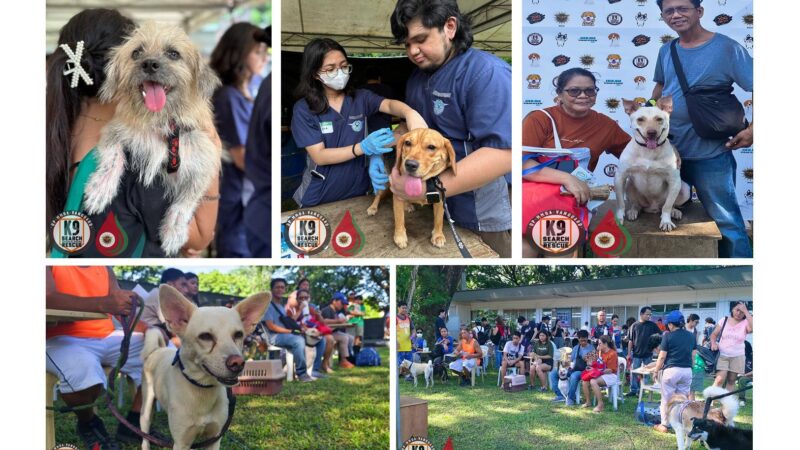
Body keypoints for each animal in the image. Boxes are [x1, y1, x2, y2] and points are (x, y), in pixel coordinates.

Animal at [83, 22, 220, 255]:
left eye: (173, 54)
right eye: (136, 53)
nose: (149, 64)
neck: (162, 121)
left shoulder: (204, 160)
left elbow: (187, 199)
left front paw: (174, 228)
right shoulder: (114, 130)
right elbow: (114, 157)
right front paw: (101, 188)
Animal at [140, 286, 268, 448]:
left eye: (238, 334)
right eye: (205, 336)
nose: (237, 363)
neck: (202, 388)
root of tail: (157, 350)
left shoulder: (214, 439)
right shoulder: (181, 442)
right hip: (146, 409)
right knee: (145, 435)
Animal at [616, 97, 692, 232]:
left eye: (659, 119)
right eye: (640, 119)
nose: (652, 132)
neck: (648, 151)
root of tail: (652, 208)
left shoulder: (674, 180)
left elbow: (667, 206)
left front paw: (666, 221)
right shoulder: (620, 177)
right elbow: (620, 203)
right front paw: (619, 218)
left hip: (684, 189)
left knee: (669, 204)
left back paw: (674, 211)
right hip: (629, 185)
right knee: (636, 204)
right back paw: (634, 211)